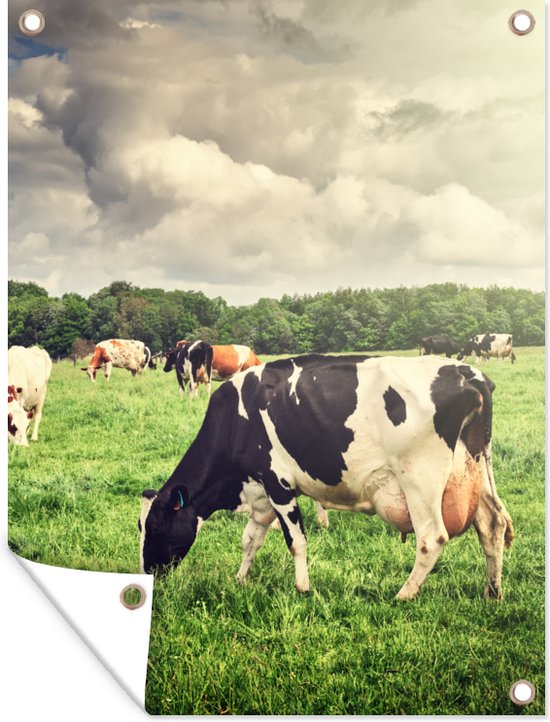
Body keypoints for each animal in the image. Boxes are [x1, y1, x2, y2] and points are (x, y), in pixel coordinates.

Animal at [140, 354, 514, 601]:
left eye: (155, 527)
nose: (148, 573)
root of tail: (467, 372)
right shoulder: (259, 490)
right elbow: (251, 539)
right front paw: (241, 578)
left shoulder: (278, 483)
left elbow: (296, 541)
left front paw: (303, 587)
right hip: (474, 467)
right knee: (492, 525)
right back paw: (492, 591)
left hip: (420, 479)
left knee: (432, 538)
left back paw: (403, 595)